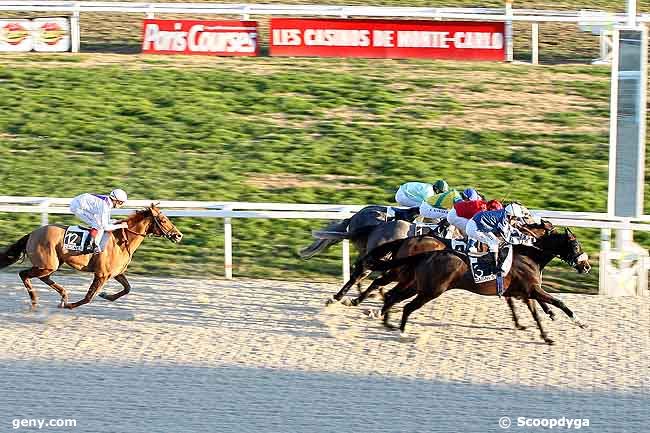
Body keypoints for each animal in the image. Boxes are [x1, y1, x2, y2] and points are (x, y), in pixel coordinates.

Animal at [0, 204, 182, 308]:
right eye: (163, 220)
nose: (178, 235)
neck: (122, 241)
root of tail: (32, 233)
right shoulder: (102, 274)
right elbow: (89, 297)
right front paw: (70, 306)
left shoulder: (116, 273)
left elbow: (127, 288)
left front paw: (106, 295)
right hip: (47, 264)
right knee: (24, 274)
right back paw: (35, 299)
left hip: (52, 264)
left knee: (43, 277)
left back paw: (63, 296)